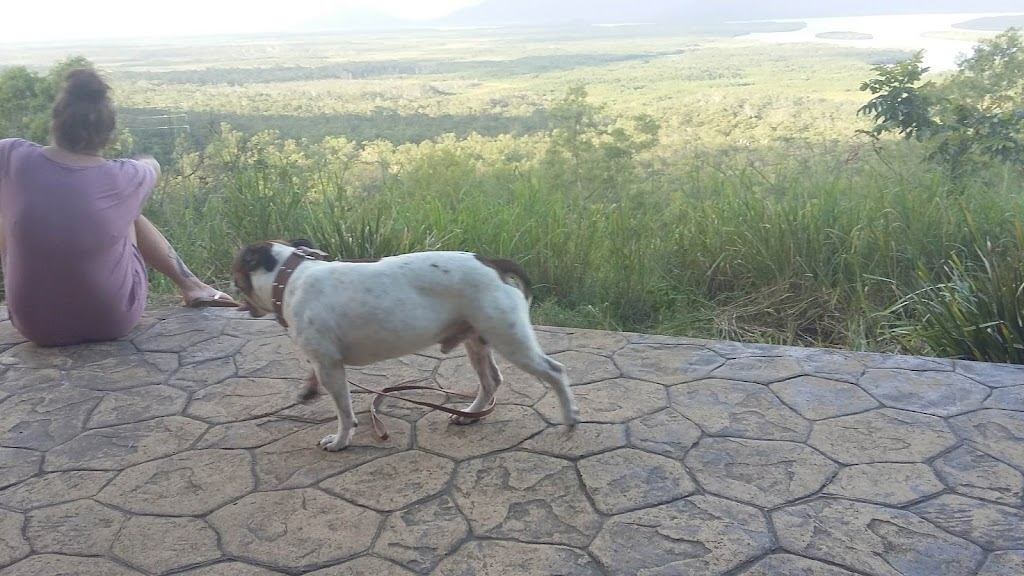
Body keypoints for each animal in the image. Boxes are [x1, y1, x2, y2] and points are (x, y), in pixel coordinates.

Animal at [234, 239, 585, 450]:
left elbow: (343, 411)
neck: (289, 278)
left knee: (555, 371)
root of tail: (493, 263)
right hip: (477, 342)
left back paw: (570, 419)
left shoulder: (329, 366)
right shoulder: (326, 363)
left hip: (510, 340)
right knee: (490, 381)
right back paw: (469, 414)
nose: (236, 300)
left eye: (236, 277)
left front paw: (340, 440)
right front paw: (309, 391)